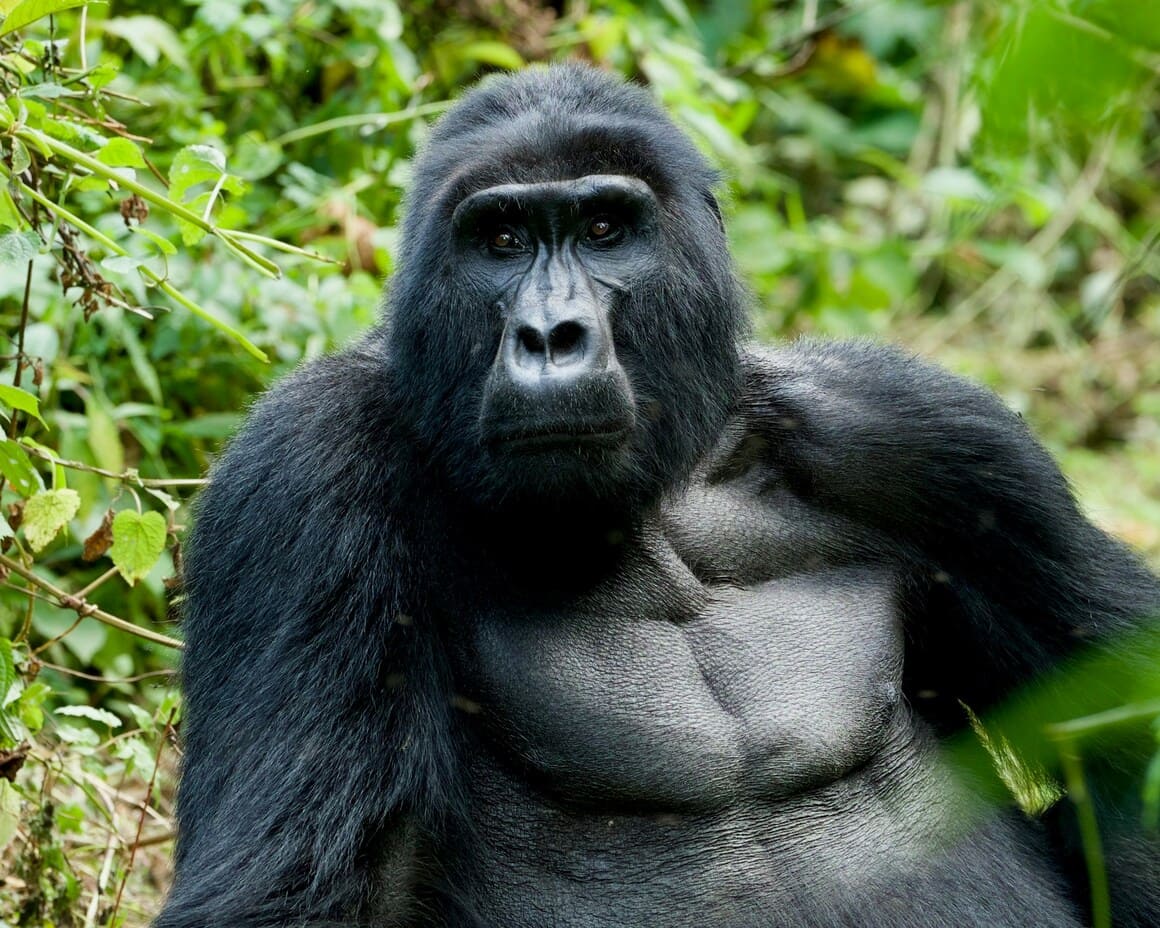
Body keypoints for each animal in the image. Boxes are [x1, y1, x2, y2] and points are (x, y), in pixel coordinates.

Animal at [158, 65, 1160, 928]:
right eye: (502, 241)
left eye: (604, 229)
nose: (551, 336)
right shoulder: (303, 477)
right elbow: (294, 890)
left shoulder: (935, 440)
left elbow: (1127, 717)